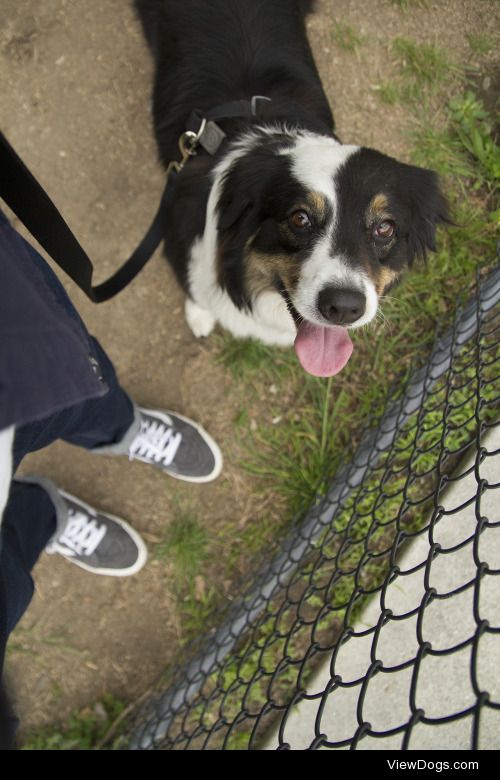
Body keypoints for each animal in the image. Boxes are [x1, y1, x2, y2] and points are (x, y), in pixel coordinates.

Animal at [134, 0, 450, 378]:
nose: (344, 307)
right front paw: (199, 315)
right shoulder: (177, 236)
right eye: (300, 219)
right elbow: (192, 286)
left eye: (385, 227)